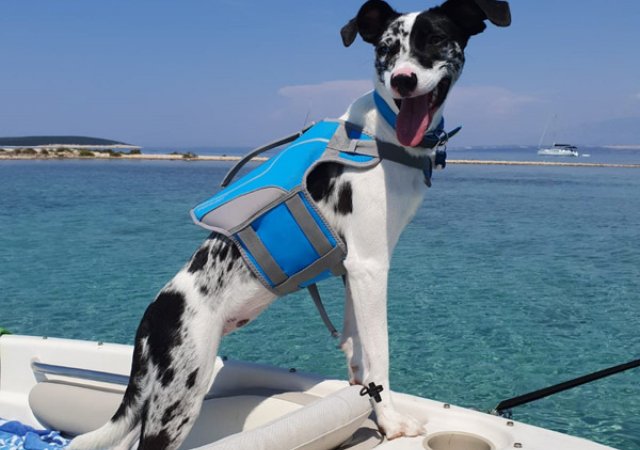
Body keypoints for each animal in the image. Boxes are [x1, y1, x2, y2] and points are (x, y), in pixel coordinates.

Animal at [70, 1, 510, 448]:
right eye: (386, 49)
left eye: (436, 39)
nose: (402, 80)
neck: (381, 135)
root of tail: (151, 319)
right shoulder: (370, 265)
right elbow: (380, 355)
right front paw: (390, 421)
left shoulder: (353, 269)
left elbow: (356, 347)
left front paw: (364, 395)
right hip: (178, 395)